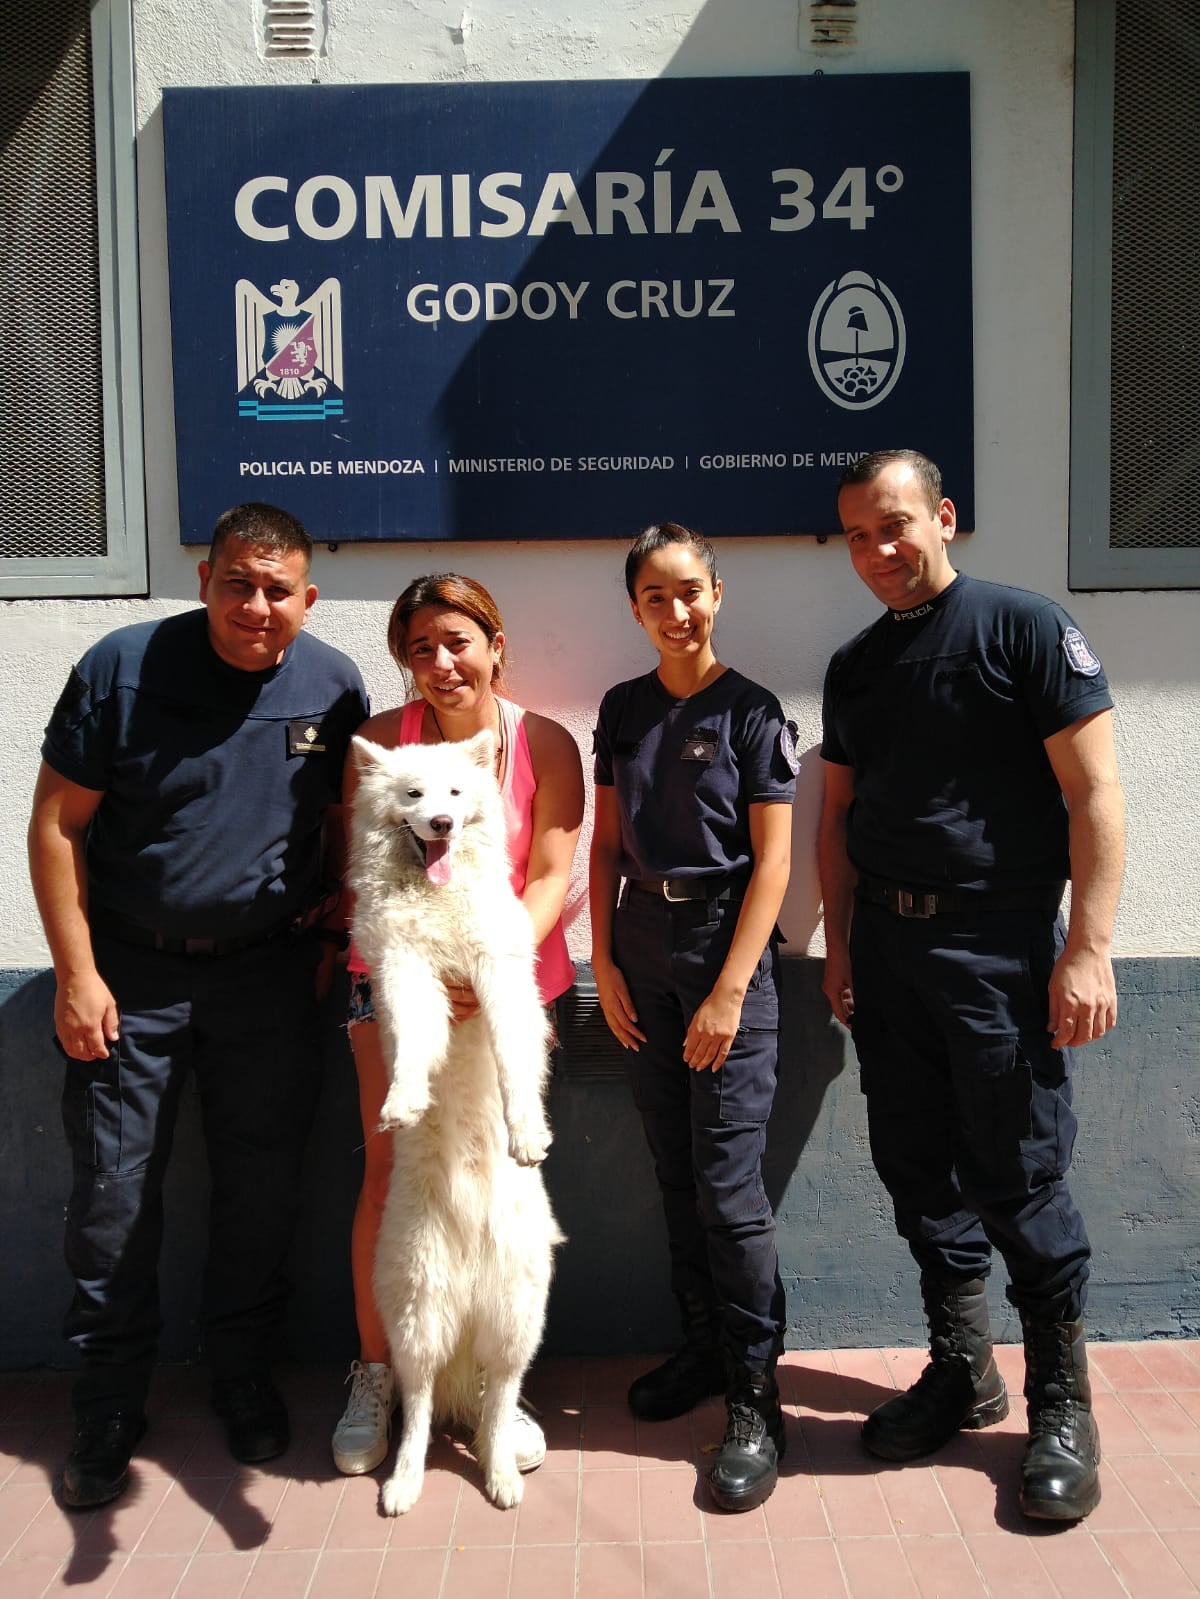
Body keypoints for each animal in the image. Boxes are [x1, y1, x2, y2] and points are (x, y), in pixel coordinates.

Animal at [347, 732, 563, 1515]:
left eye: (455, 795)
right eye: (413, 795)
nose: (440, 824)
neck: (436, 897)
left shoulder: (497, 968)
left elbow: (512, 1053)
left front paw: (525, 1133)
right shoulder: (405, 970)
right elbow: (414, 1041)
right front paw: (405, 1100)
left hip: (518, 1316)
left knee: (498, 1404)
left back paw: (501, 1474)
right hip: (417, 1317)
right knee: (417, 1411)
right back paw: (402, 1483)